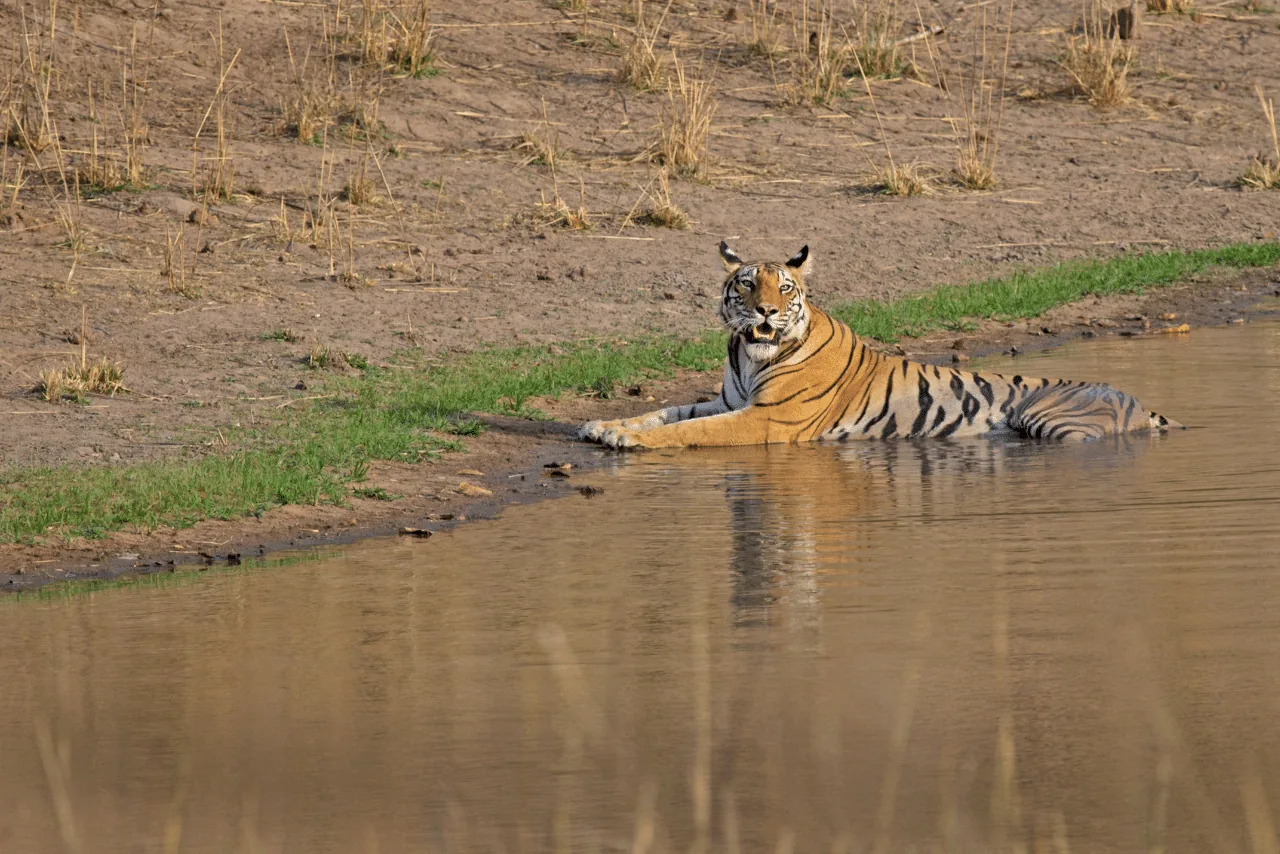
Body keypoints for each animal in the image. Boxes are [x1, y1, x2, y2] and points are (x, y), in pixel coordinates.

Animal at [578, 242, 1181, 449]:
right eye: (746, 283)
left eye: (784, 288)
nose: (766, 310)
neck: (750, 355)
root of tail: (1137, 400)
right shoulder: (730, 401)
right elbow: (665, 411)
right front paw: (603, 426)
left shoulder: (765, 418)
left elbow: (687, 431)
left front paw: (627, 440)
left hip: (1055, 422)